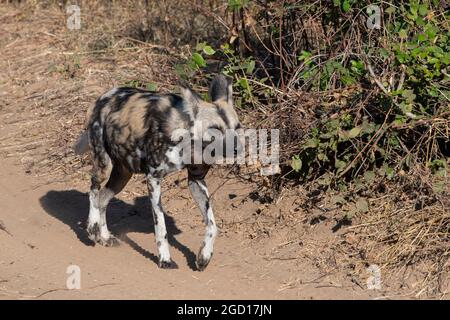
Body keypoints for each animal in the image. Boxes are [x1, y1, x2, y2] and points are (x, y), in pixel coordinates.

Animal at [74, 75, 241, 270]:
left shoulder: (196, 180)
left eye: (237, 127)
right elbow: (160, 224)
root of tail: (103, 97)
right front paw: (165, 259)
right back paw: (92, 229)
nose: (238, 148)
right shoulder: (153, 179)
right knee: (93, 189)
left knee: (103, 199)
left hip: (122, 175)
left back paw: (105, 237)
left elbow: (212, 225)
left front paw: (203, 257)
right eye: (216, 129)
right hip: (103, 165)